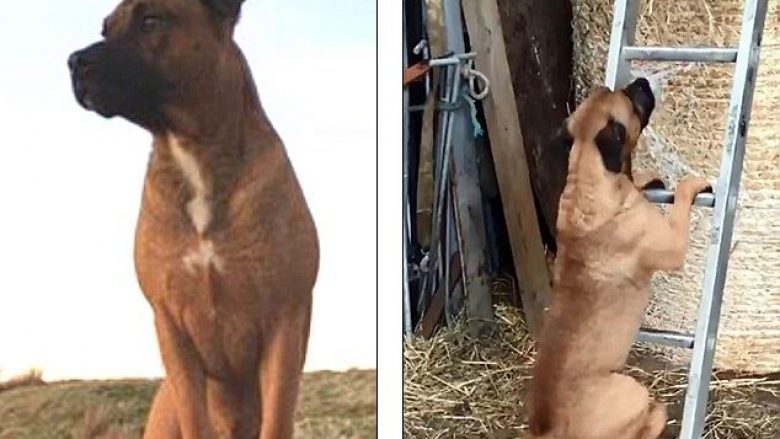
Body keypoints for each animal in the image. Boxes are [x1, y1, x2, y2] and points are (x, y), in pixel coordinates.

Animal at [68, 1, 318, 438]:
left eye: (151, 20)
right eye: (105, 28)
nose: (74, 61)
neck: (195, 154)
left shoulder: (285, 321)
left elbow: (276, 416)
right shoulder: (170, 326)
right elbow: (193, 414)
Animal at [528, 79, 708, 439]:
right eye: (629, 98)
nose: (640, 81)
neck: (588, 177)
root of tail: (549, 429)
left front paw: (648, 178)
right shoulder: (672, 246)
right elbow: (681, 201)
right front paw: (689, 184)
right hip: (632, 389)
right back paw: (657, 415)